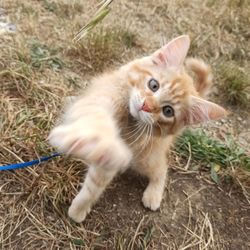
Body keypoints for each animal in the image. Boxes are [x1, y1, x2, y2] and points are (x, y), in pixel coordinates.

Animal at [48, 35, 227, 223]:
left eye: (168, 111)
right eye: (153, 85)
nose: (146, 106)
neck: (128, 120)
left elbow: (96, 183)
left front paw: (79, 209)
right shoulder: (102, 97)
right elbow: (95, 120)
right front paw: (94, 144)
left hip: (145, 158)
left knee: (162, 169)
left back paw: (154, 194)